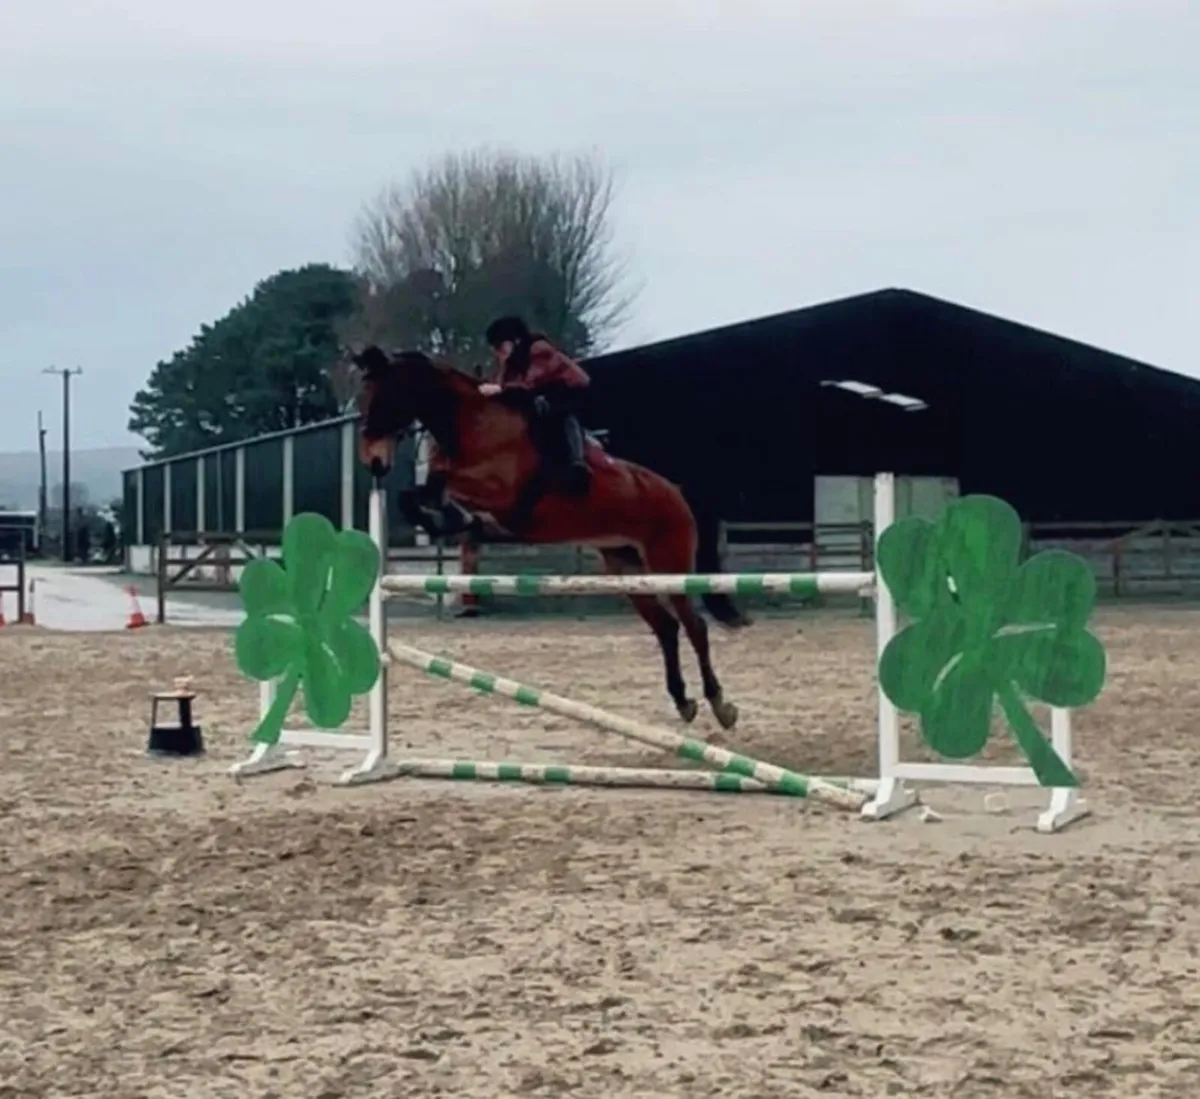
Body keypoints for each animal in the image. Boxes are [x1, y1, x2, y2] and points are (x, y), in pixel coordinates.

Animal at [353, 345, 749, 730]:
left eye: (381, 396)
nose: (372, 462)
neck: (475, 424)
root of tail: (676, 493)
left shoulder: (500, 491)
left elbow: (437, 482)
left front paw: (454, 518)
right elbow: (416, 493)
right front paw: (448, 520)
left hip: (669, 564)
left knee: (694, 626)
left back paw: (721, 705)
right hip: (626, 567)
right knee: (666, 627)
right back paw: (683, 701)